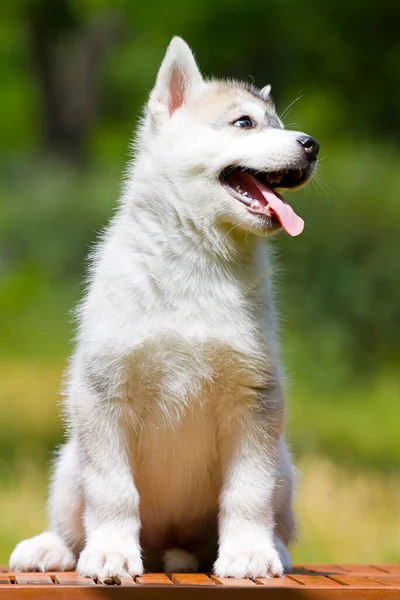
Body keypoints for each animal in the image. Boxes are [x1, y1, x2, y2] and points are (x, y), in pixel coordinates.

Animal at [10, 36, 318, 576]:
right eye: (245, 123)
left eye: (278, 123)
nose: (312, 145)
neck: (196, 262)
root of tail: (171, 546)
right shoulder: (102, 392)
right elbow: (112, 491)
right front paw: (109, 553)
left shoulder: (255, 397)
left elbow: (247, 492)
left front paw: (248, 553)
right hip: (68, 463)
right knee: (72, 519)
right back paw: (53, 548)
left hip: (283, 462)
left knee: (273, 516)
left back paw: (272, 549)